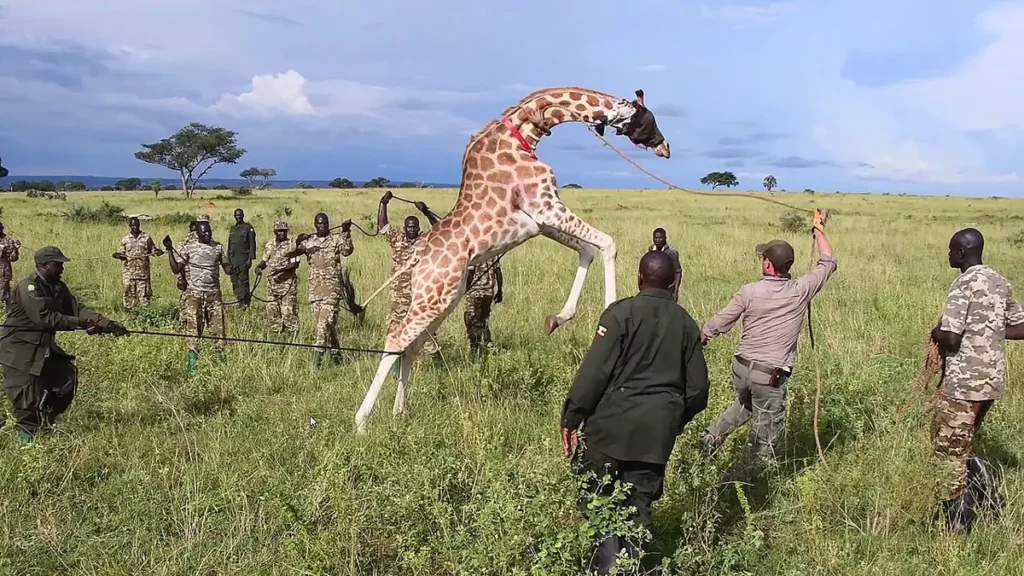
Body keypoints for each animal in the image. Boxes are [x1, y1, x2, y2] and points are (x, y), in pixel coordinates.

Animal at [354, 86, 670, 432]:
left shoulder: (540, 221)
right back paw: (361, 421)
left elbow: (587, 249)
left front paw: (557, 318)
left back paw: (399, 412)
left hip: (442, 298)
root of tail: (418, 257)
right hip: (435, 296)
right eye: (649, 118)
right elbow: (608, 243)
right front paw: (608, 308)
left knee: (410, 346)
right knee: (396, 337)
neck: (524, 133)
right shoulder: (546, 206)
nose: (665, 148)